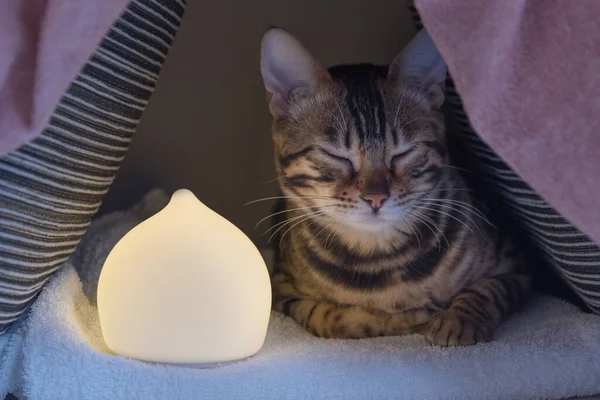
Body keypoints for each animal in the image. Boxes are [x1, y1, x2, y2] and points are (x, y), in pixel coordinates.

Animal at [258, 28, 528, 346]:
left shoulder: (517, 265)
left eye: (403, 153)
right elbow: (329, 317)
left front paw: (459, 320)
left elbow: (488, 291)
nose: (376, 197)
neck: (378, 261)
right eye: (336, 156)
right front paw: (399, 318)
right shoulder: (280, 287)